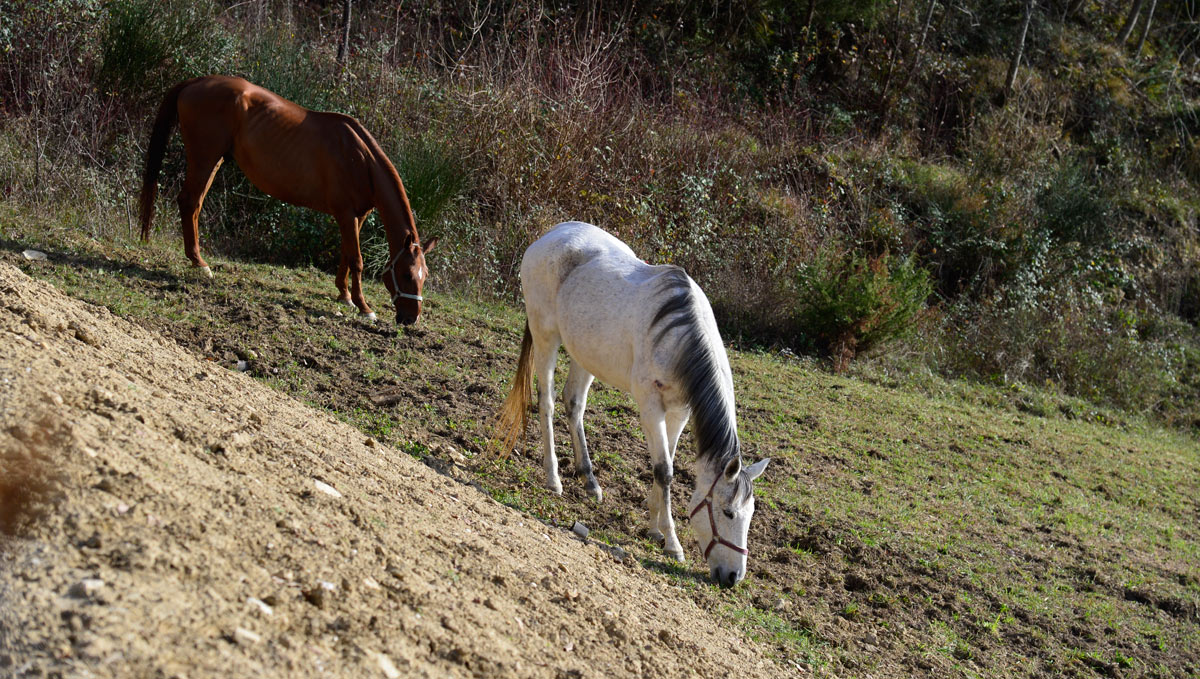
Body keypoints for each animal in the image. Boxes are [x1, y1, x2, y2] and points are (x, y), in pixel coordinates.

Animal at [137, 74, 436, 326]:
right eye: (407, 274)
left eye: (425, 276)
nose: (411, 319)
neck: (360, 159)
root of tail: (197, 81)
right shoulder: (345, 214)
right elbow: (357, 260)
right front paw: (364, 307)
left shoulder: (355, 216)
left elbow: (345, 253)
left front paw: (344, 296)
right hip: (204, 158)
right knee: (189, 202)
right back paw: (199, 264)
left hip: (216, 160)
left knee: (195, 205)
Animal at [499, 223, 768, 590]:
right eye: (727, 512)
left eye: (750, 515)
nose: (732, 577)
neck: (679, 335)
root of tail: (549, 235)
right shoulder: (650, 405)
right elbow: (664, 470)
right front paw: (672, 543)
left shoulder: (679, 411)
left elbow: (665, 464)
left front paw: (654, 527)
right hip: (545, 337)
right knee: (548, 403)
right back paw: (553, 479)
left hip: (585, 352)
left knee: (574, 404)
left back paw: (589, 480)